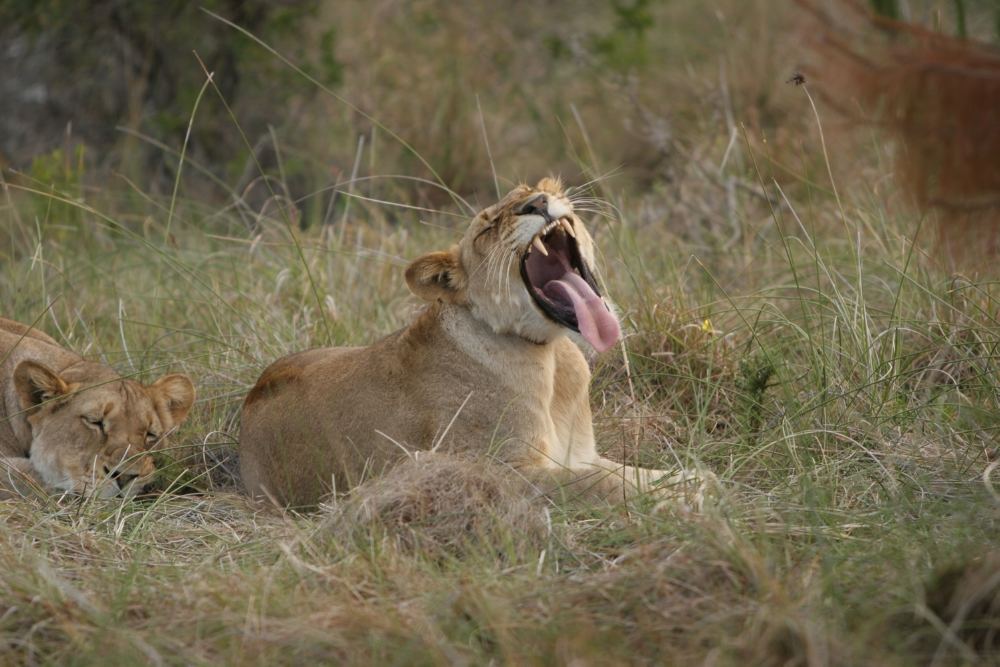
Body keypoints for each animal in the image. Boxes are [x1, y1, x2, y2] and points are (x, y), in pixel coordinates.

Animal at [241, 177, 696, 506]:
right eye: (488, 229)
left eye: (535, 191)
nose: (538, 203)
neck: (551, 357)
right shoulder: (501, 471)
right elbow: (600, 482)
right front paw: (685, 497)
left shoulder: (579, 454)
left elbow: (623, 470)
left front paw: (687, 477)